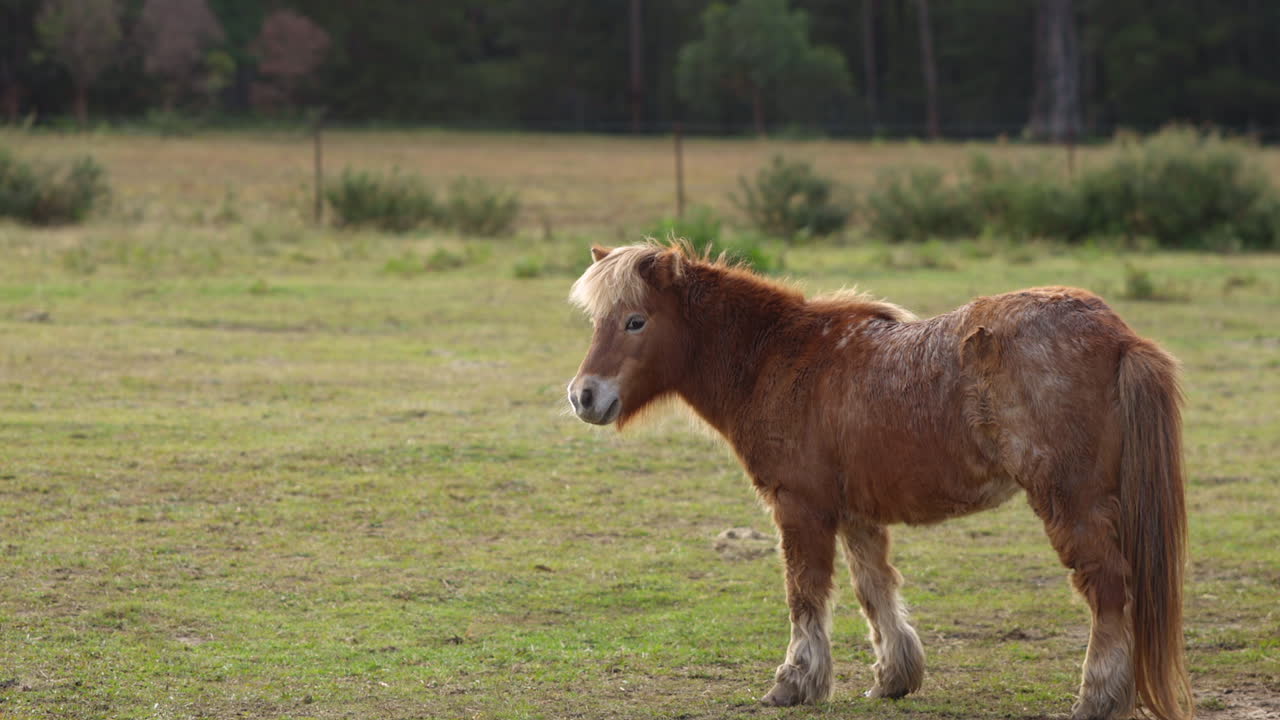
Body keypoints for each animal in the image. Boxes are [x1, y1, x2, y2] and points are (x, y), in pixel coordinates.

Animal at [565, 241, 1192, 720]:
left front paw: (794, 683)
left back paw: (1096, 699)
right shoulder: (856, 514)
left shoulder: (800, 508)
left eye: (636, 321)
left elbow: (805, 593)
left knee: (1107, 588)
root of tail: (1118, 335)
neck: (778, 359)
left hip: (1071, 503)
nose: (583, 396)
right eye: (597, 323)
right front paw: (895, 676)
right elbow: (874, 589)